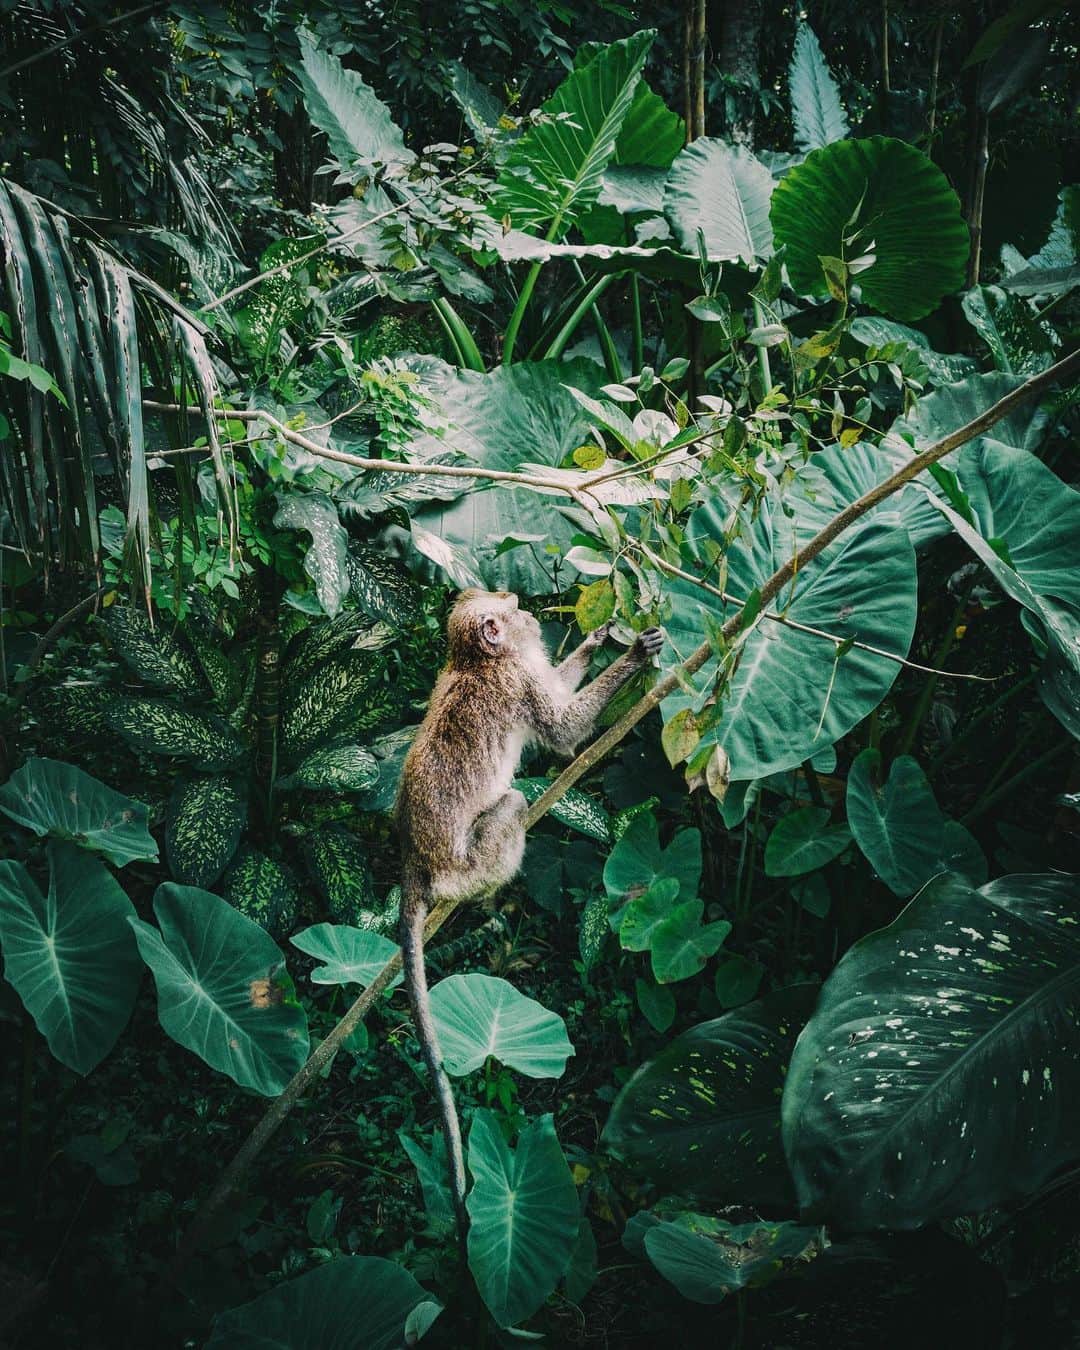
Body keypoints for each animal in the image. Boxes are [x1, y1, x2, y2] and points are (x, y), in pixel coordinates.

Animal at [395, 588, 664, 1244]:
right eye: (512, 607)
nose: (528, 613)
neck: (477, 664)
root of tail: (415, 861)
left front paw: (596, 641)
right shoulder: (516, 683)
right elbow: (562, 728)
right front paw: (634, 658)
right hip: (468, 864)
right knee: (512, 804)